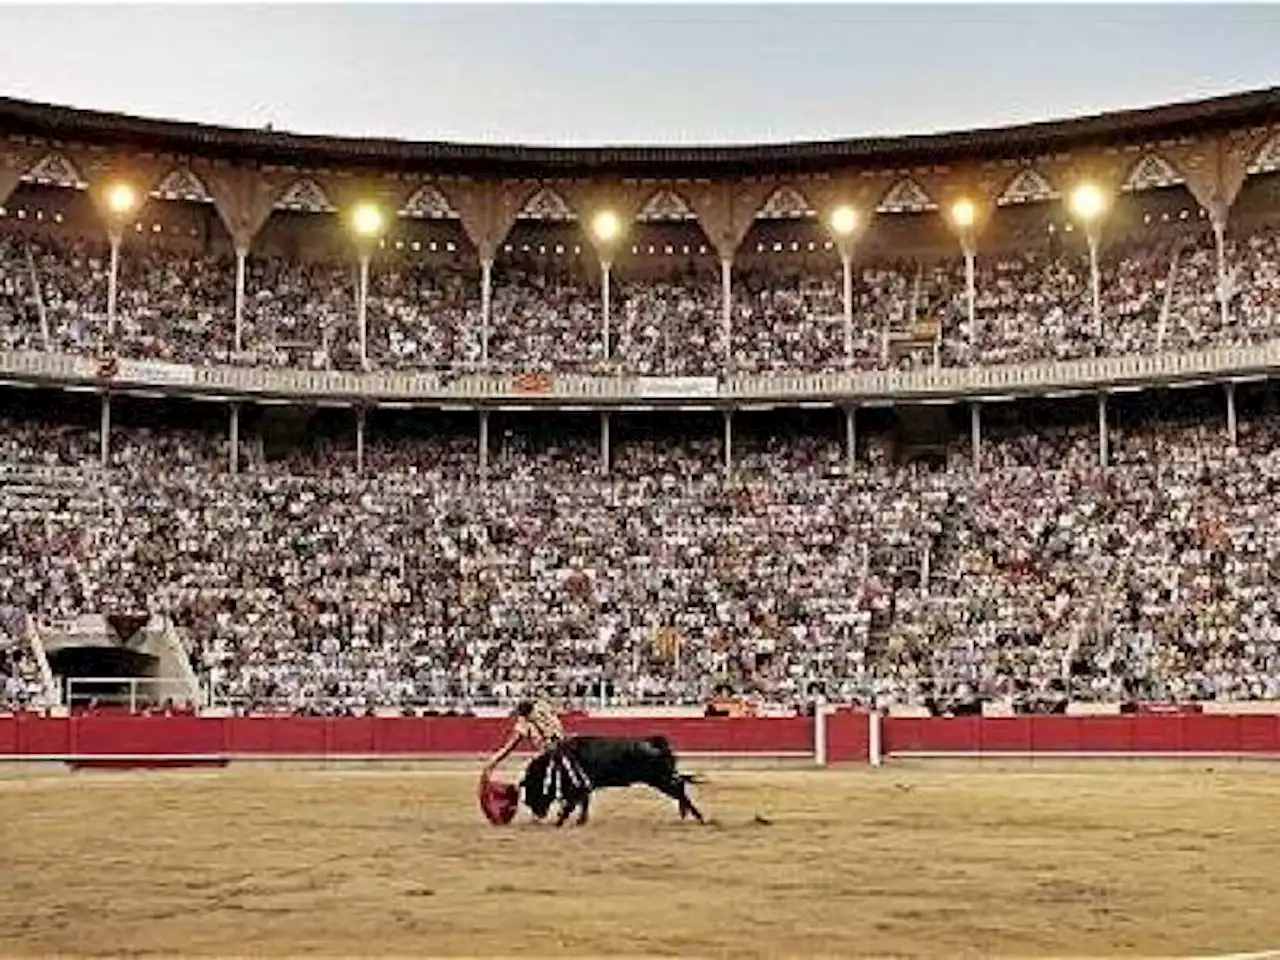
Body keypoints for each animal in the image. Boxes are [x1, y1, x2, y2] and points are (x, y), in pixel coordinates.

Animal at [517, 737, 706, 829]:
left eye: (532, 789)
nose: (538, 815)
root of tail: (655, 743)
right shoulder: (584, 787)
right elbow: (584, 803)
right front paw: (580, 821)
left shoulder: (577, 788)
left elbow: (571, 805)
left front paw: (559, 822)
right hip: (662, 778)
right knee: (680, 787)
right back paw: (687, 814)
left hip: (660, 779)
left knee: (679, 788)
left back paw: (699, 817)